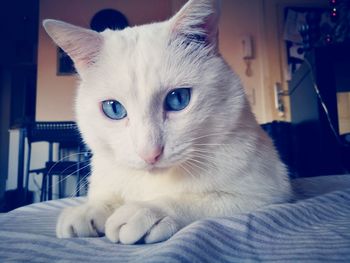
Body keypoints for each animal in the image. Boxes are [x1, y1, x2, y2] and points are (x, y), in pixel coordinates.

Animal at [43, 0, 290, 245]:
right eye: (113, 109)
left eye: (178, 99)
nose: (149, 153)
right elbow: (110, 196)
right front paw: (88, 210)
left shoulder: (265, 193)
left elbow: (199, 200)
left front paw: (147, 210)